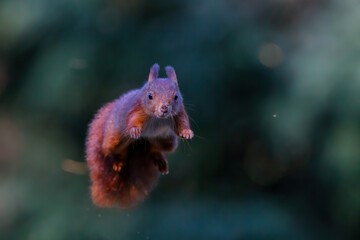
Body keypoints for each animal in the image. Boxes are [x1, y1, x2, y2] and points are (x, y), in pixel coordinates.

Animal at [86, 63, 194, 208]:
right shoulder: (137, 108)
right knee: (114, 150)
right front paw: (134, 130)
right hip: (114, 139)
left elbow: (182, 122)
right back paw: (118, 160)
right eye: (150, 96)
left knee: (153, 150)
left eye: (176, 97)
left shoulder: (179, 112)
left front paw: (186, 132)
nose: (164, 108)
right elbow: (133, 119)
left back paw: (158, 158)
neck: (157, 118)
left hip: (166, 141)